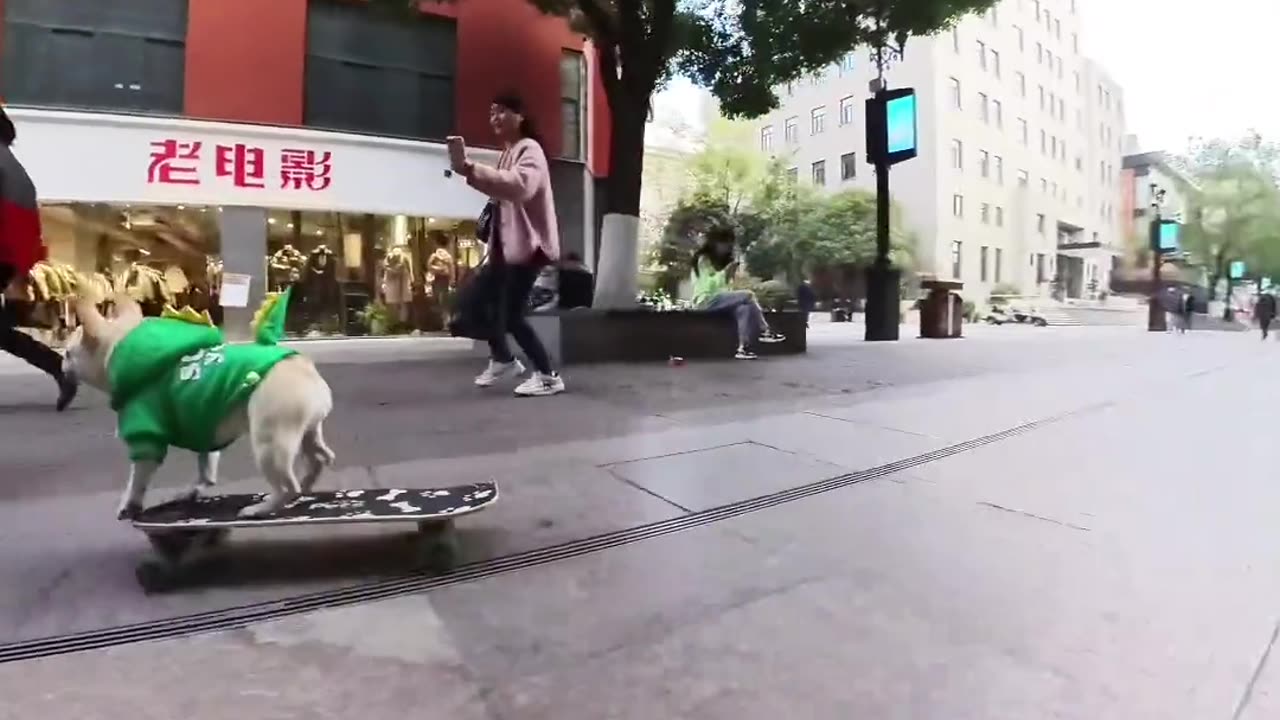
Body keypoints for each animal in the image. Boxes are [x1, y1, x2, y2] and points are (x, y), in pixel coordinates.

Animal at [68, 285, 335, 515]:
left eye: (69, 353)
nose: (62, 361)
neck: (118, 344)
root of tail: (305, 368)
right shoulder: (204, 424)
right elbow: (206, 467)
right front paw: (192, 491)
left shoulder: (145, 435)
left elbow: (138, 478)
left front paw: (129, 505)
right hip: (307, 430)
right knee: (321, 457)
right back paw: (306, 486)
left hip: (270, 438)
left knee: (287, 484)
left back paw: (262, 508)